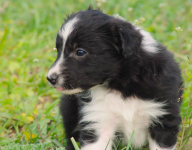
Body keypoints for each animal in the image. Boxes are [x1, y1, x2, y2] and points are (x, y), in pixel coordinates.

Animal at [47, 8, 183, 149]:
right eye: (58, 50)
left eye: (80, 52)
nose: (50, 78)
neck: (121, 85)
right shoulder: (98, 119)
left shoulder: (163, 115)